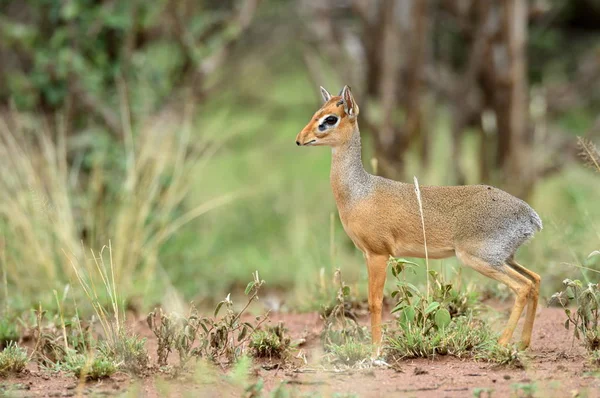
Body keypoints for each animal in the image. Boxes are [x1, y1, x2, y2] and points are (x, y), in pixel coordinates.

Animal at [296, 84, 544, 352]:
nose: (300, 139)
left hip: (481, 259)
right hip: (506, 258)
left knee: (522, 287)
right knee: (535, 280)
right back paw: (523, 343)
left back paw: (501, 343)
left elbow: (374, 302)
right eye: (317, 112)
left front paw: (375, 349)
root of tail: (530, 216)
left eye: (330, 118)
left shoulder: (378, 253)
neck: (360, 192)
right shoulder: (367, 254)